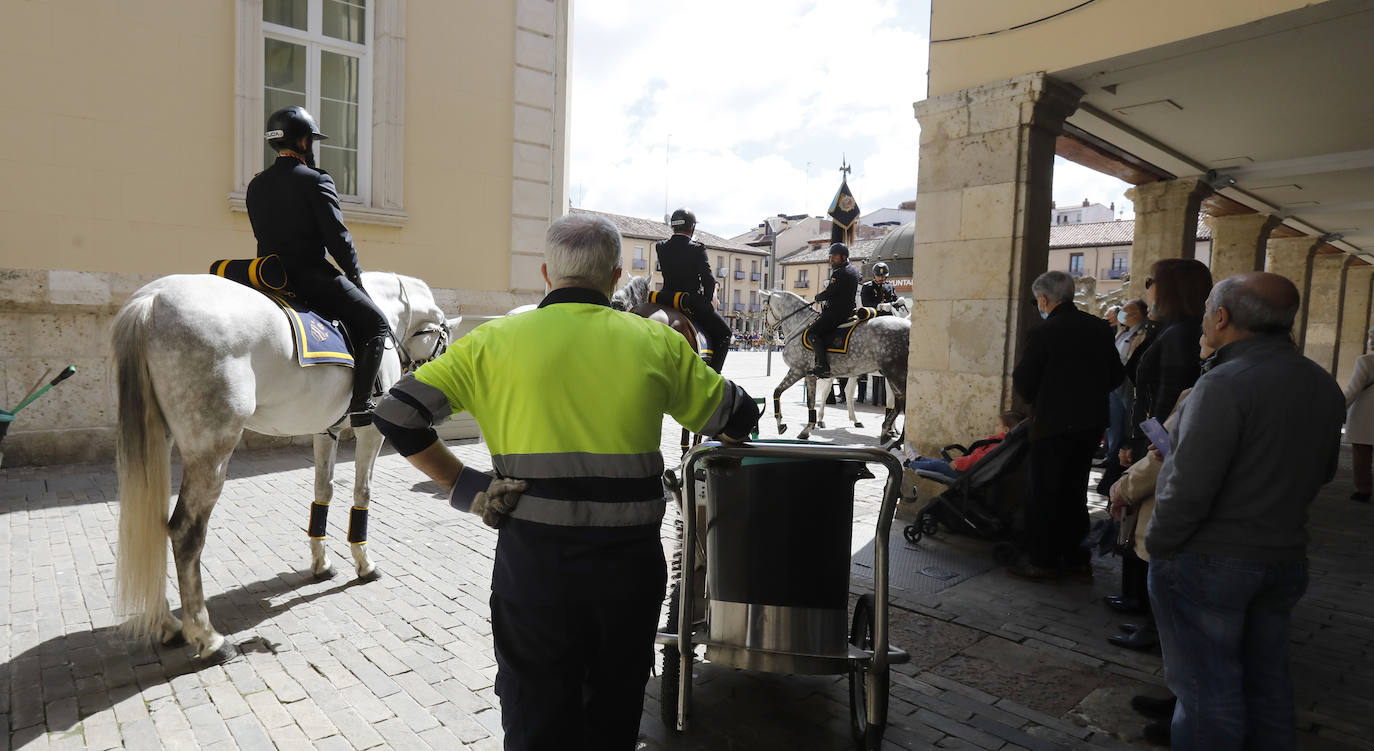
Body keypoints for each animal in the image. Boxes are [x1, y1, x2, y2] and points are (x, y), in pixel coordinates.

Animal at [113, 273, 456, 661]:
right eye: (444, 342)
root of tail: (153, 299)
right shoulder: (370, 431)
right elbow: (362, 492)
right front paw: (364, 563)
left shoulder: (326, 431)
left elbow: (323, 492)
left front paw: (321, 564)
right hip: (211, 451)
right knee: (185, 533)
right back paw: (208, 637)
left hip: (159, 437)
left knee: (151, 523)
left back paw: (169, 625)